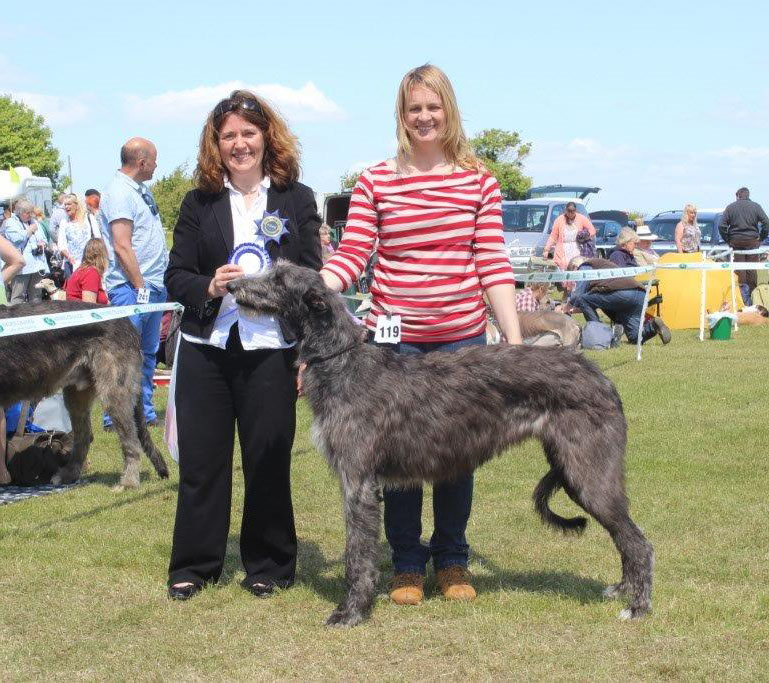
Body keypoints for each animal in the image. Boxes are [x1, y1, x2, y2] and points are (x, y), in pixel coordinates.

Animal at [0, 302, 168, 488]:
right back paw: (69, 474)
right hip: (77, 394)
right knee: (84, 436)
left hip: (114, 389)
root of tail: (128, 324)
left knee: (131, 438)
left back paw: (129, 481)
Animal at [228, 264, 656, 628]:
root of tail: (601, 378)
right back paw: (623, 590)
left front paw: (351, 611)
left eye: (279, 278)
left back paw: (637, 606)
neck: (343, 362)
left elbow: (357, 552)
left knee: (638, 541)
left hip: (588, 472)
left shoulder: (357, 480)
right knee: (626, 537)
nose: (231, 285)